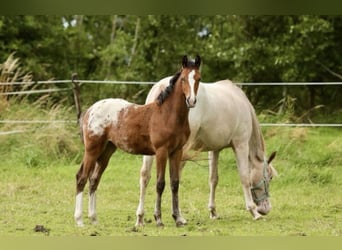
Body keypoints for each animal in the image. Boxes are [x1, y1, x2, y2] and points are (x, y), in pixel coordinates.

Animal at [74, 55, 202, 228]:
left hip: (106, 151)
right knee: (81, 177)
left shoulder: (177, 151)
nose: (191, 100)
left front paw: (178, 218)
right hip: (92, 149)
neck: (168, 115)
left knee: (94, 180)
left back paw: (94, 219)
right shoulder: (161, 151)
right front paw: (158, 219)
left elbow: (175, 183)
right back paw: (79, 220)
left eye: (198, 78)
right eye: (183, 79)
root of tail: (89, 111)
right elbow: (160, 183)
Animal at [135, 77, 276, 226]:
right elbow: (245, 178)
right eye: (269, 177)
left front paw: (213, 211)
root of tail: (163, 86)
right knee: (174, 178)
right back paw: (177, 215)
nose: (266, 209)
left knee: (145, 176)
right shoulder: (241, 144)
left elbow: (213, 179)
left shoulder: (214, 149)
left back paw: (140, 217)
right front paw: (253, 211)